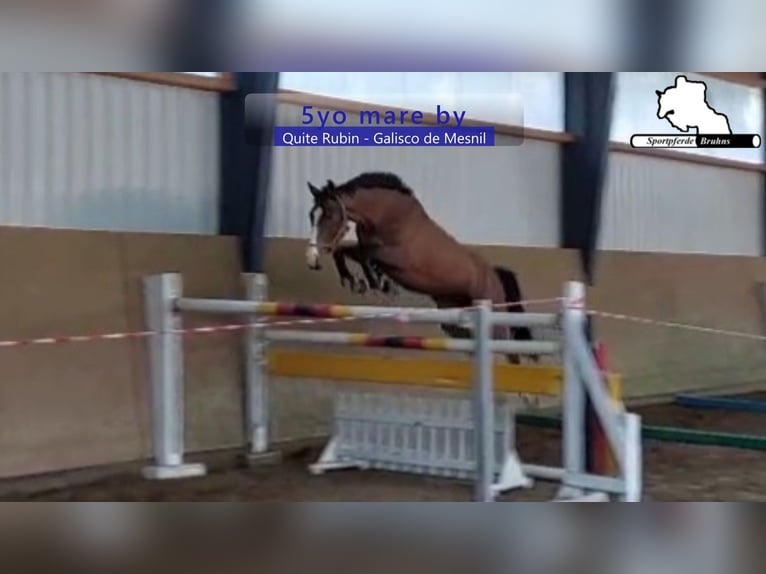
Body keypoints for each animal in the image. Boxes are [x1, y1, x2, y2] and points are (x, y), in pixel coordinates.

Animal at [304, 172, 535, 364]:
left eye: (329, 215)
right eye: (311, 215)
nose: (311, 259)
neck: (386, 215)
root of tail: (494, 276)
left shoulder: (398, 259)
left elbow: (367, 255)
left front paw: (376, 282)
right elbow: (344, 251)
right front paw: (354, 281)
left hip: (495, 320)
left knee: (510, 353)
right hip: (454, 318)